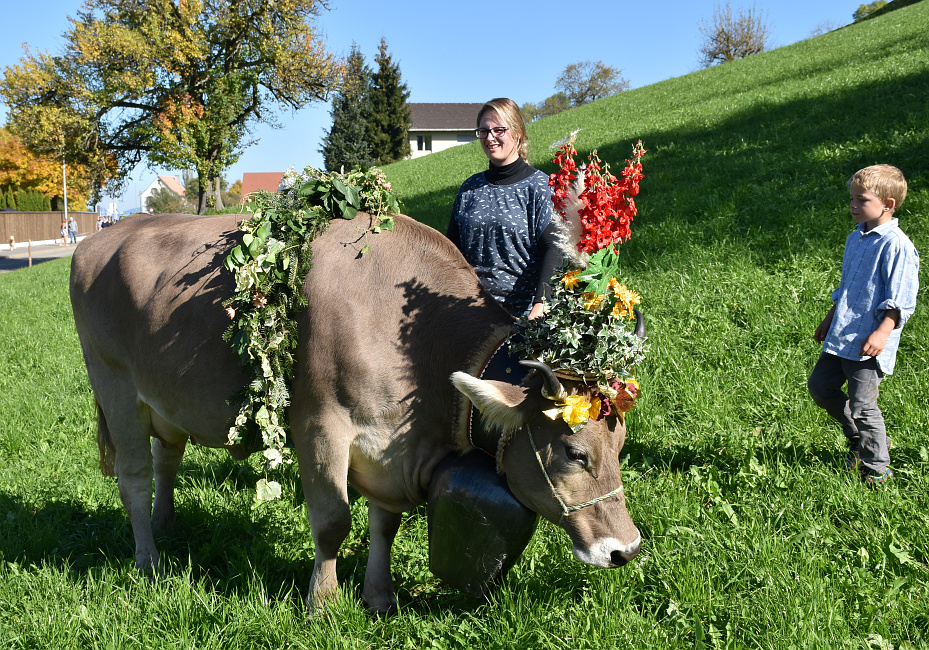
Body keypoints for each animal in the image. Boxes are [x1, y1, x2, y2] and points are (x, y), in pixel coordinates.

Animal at [69, 211, 640, 612]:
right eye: (573, 452)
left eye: (619, 445)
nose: (626, 550)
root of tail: (106, 235)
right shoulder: (319, 424)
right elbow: (332, 523)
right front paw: (321, 605)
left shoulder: (390, 447)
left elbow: (384, 525)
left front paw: (379, 597)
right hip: (114, 385)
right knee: (134, 478)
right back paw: (150, 562)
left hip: (165, 400)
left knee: (166, 458)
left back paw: (166, 526)